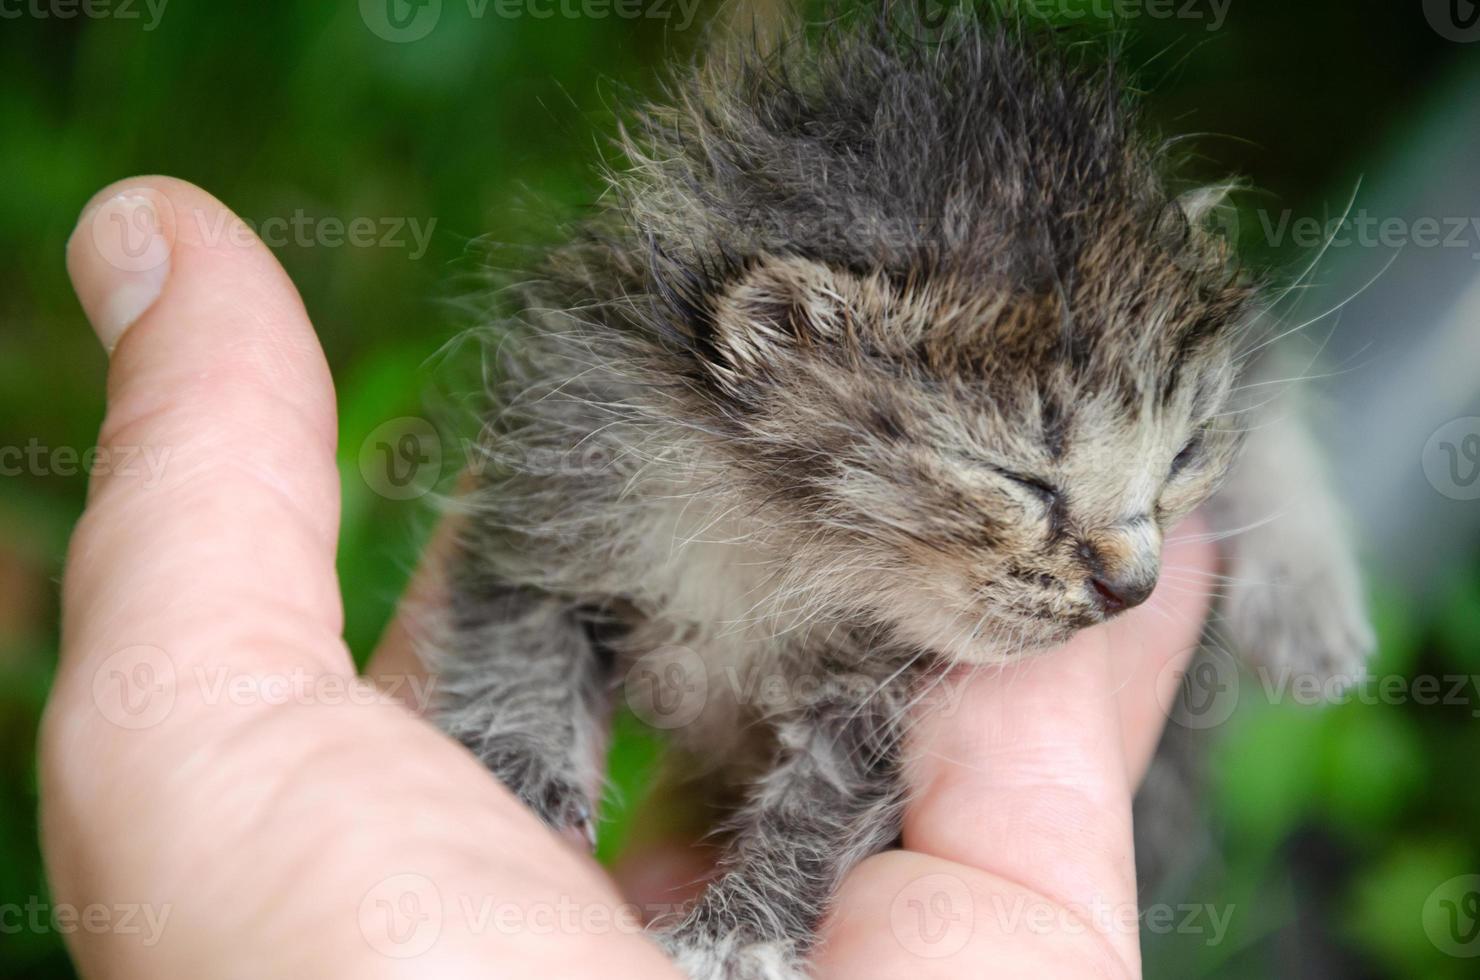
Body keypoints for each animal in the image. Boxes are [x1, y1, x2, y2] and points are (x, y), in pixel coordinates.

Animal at [429, 9, 1373, 980]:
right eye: (1020, 479)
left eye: (1181, 455)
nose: (1135, 586)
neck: (773, 532)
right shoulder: (552, 478)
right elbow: (514, 637)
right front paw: (510, 778)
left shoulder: (874, 689)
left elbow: (822, 802)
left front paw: (737, 937)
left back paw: (1306, 611)